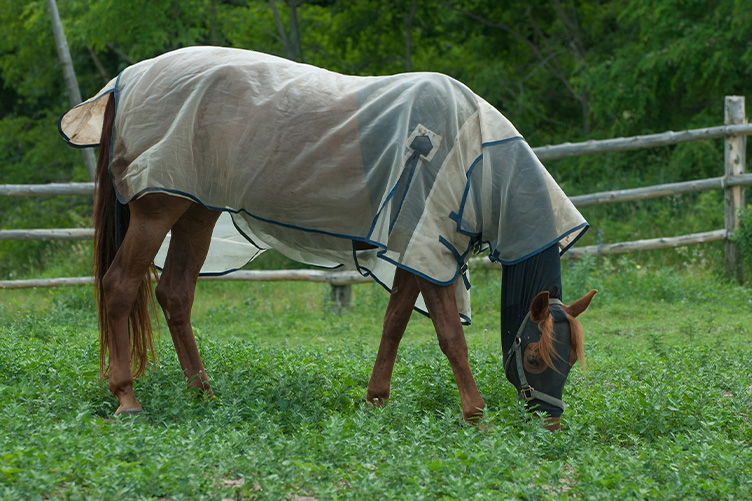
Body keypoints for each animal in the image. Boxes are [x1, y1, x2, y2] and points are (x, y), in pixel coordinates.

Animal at [59, 46, 595, 430]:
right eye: (534, 356)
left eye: (572, 356)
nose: (550, 423)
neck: (480, 159)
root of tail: (130, 78)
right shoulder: (429, 248)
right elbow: (450, 337)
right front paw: (476, 417)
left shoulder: (409, 251)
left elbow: (395, 323)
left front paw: (376, 402)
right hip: (158, 210)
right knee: (120, 286)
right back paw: (128, 399)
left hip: (197, 210)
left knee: (175, 294)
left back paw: (203, 393)